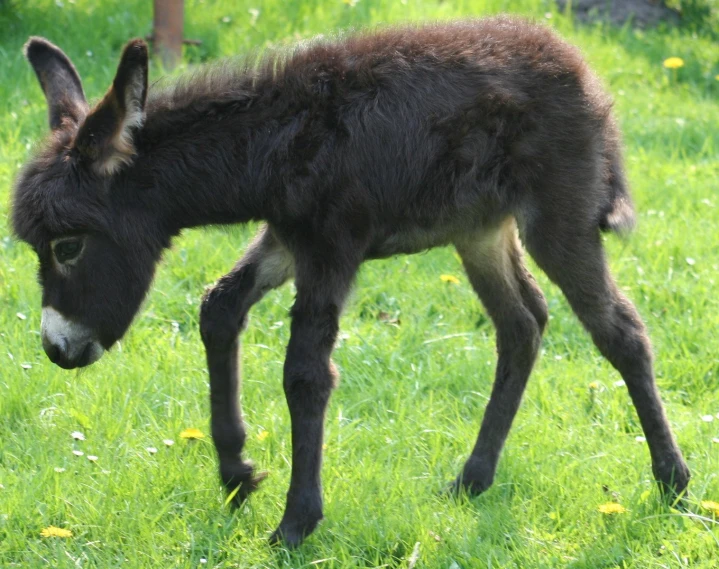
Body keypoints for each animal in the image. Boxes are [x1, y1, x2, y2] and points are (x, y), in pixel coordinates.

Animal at [9, 17, 688, 544]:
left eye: (67, 247)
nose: (57, 351)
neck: (276, 141)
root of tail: (578, 66)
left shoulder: (332, 249)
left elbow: (306, 375)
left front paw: (295, 525)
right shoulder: (289, 240)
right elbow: (218, 307)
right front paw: (236, 474)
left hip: (558, 217)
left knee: (619, 330)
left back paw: (673, 483)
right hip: (478, 230)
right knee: (522, 325)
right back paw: (473, 480)